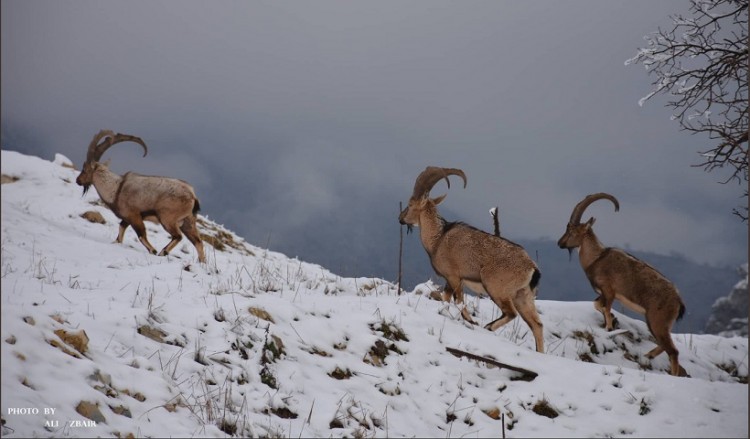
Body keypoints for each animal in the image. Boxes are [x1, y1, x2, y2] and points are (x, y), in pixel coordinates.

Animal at [76, 129, 206, 262]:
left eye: (85, 169)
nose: (78, 180)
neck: (116, 189)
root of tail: (192, 195)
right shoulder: (126, 218)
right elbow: (121, 229)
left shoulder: (134, 215)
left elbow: (141, 235)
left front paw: (153, 250)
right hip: (188, 222)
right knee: (198, 242)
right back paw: (201, 263)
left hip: (167, 218)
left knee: (178, 236)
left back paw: (162, 252)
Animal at [400, 167, 548, 352]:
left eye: (410, 204)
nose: (400, 218)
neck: (438, 238)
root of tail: (532, 268)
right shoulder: (450, 281)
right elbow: (447, 298)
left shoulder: (454, 277)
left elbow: (459, 301)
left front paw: (470, 320)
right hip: (523, 296)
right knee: (537, 324)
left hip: (495, 287)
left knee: (511, 313)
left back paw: (488, 326)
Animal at [560, 194, 688, 376]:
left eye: (571, 231)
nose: (560, 243)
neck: (596, 258)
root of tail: (678, 301)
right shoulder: (603, 293)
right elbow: (597, 305)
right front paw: (613, 321)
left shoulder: (609, 290)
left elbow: (605, 308)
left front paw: (608, 327)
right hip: (660, 324)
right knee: (666, 346)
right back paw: (648, 356)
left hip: (657, 321)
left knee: (673, 351)